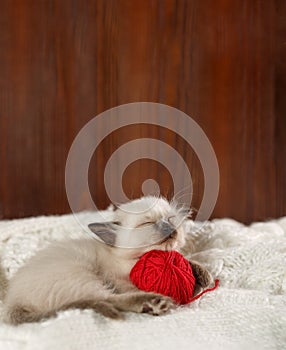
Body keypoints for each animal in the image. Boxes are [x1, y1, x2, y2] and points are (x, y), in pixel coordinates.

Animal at [2, 197, 212, 326]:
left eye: (170, 219)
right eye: (148, 224)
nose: (170, 229)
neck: (135, 259)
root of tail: (13, 300)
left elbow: (188, 261)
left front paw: (204, 276)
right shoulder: (118, 279)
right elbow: (128, 288)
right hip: (82, 274)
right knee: (105, 298)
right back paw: (154, 303)